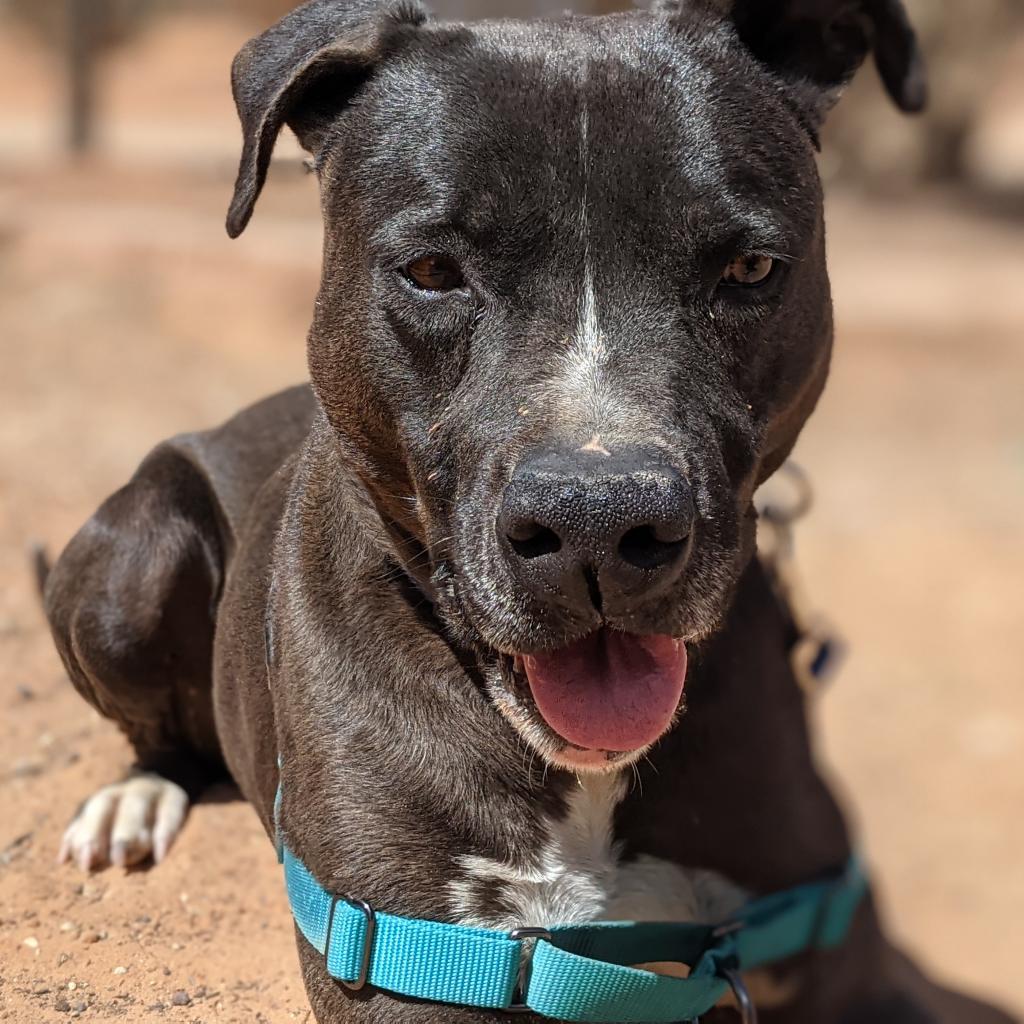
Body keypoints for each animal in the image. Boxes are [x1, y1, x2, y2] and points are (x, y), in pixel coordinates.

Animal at [39, 2, 1015, 1024]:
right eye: (433, 269)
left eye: (750, 267)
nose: (600, 523)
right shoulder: (409, 945)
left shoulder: (824, 939)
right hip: (133, 559)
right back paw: (134, 800)